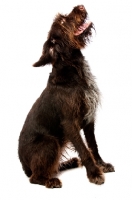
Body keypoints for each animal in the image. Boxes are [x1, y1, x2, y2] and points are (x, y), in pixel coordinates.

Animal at [18, 5, 114, 189]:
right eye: (62, 22)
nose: (81, 6)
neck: (73, 69)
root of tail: (23, 165)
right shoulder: (70, 123)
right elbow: (84, 150)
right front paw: (94, 173)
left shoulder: (89, 118)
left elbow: (93, 145)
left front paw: (101, 164)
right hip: (50, 142)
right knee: (35, 177)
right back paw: (50, 181)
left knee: (52, 167)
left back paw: (69, 163)